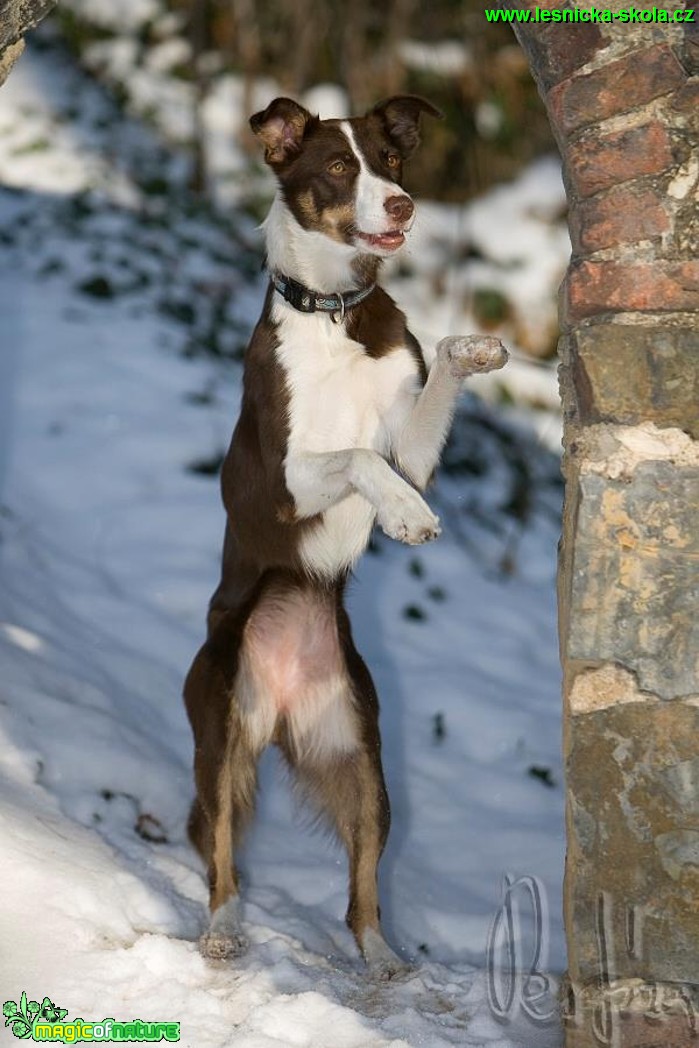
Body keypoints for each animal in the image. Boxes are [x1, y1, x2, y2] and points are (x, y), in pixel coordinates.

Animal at [182, 94, 509, 976]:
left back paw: (380, 956)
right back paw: (222, 928)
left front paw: (474, 347)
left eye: (390, 163)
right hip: (219, 732)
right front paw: (405, 517)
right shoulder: (283, 483)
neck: (333, 314)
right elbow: (357, 456)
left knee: (362, 882)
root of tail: (282, 704)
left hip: (364, 763)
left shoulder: (412, 449)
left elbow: (426, 389)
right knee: (218, 845)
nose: (401, 206)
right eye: (336, 167)